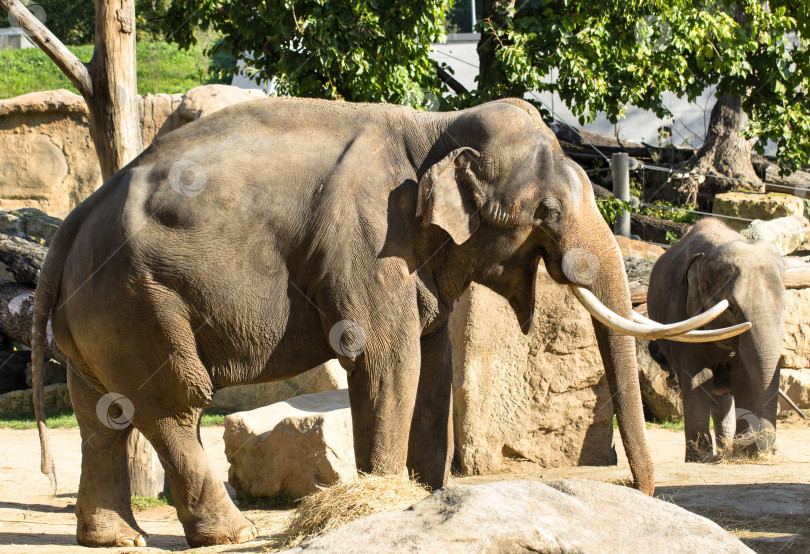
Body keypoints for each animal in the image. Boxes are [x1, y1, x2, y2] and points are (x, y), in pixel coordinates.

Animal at [26, 97, 744, 544]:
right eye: (544, 213)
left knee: (102, 415)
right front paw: (381, 503)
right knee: (174, 405)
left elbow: (435, 360)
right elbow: (386, 357)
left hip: (99, 313)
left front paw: (426, 501)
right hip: (141, 300)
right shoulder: (368, 241)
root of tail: (71, 225)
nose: (640, 490)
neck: (434, 129)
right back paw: (232, 533)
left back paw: (116, 539)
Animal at [644, 218, 784, 460]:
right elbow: (696, 377)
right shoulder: (680, 309)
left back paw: (727, 448)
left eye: (784, 306)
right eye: (733, 307)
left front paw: (744, 450)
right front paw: (699, 458)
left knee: (723, 396)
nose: (767, 449)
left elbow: (743, 378)